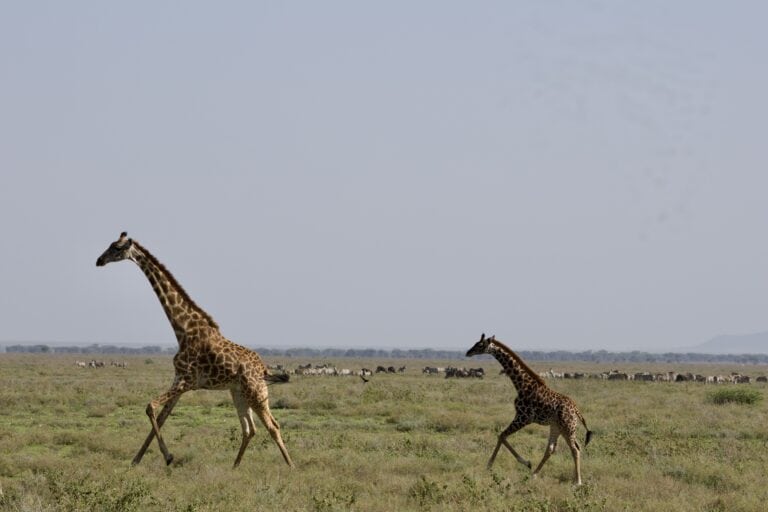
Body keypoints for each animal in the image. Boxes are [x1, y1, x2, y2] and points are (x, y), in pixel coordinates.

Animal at [96, 232, 293, 468]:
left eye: (116, 248)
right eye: (110, 245)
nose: (99, 260)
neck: (183, 329)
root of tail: (264, 369)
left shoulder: (186, 381)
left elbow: (150, 407)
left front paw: (168, 457)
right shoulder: (179, 380)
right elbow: (161, 416)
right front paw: (137, 460)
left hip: (256, 392)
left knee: (273, 426)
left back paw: (291, 466)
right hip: (238, 392)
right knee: (249, 429)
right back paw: (234, 467)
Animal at [466, 333, 592, 485]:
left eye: (480, 345)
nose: (468, 352)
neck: (521, 385)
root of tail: (577, 411)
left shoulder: (523, 417)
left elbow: (501, 435)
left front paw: (491, 465)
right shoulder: (522, 418)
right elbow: (502, 436)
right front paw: (527, 463)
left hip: (567, 427)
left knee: (574, 449)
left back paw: (577, 482)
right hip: (557, 427)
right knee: (553, 449)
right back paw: (535, 474)